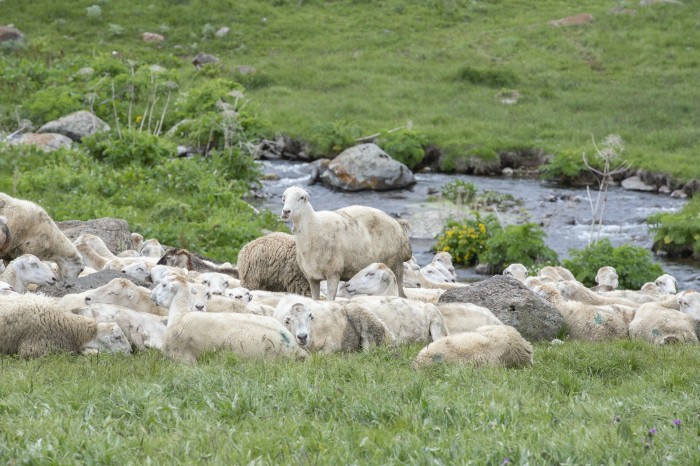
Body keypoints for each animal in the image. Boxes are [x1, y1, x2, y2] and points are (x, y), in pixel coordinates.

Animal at [280, 184, 412, 300]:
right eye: (284, 197)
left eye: (301, 198)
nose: (286, 211)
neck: (315, 227)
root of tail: (398, 224)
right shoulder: (312, 278)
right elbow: (315, 299)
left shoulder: (333, 274)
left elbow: (330, 300)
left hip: (396, 266)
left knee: (401, 293)